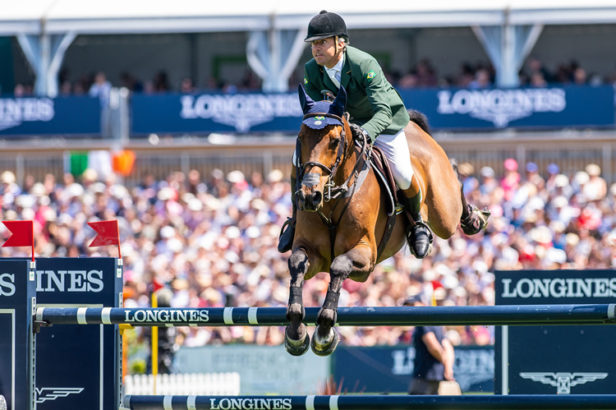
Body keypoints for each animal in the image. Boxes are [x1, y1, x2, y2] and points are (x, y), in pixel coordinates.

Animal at [286, 84, 490, 356]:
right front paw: (295, 332)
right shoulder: (312, 252)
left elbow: (339, 266)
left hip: (444, 214)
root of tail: (413, 127)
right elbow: (297, 263)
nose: (309, 196)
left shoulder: (366, 256)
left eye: (335, 141)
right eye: (300, 138)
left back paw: (473, 218)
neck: (334, 197)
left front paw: (324, 332)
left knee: (453, 189)